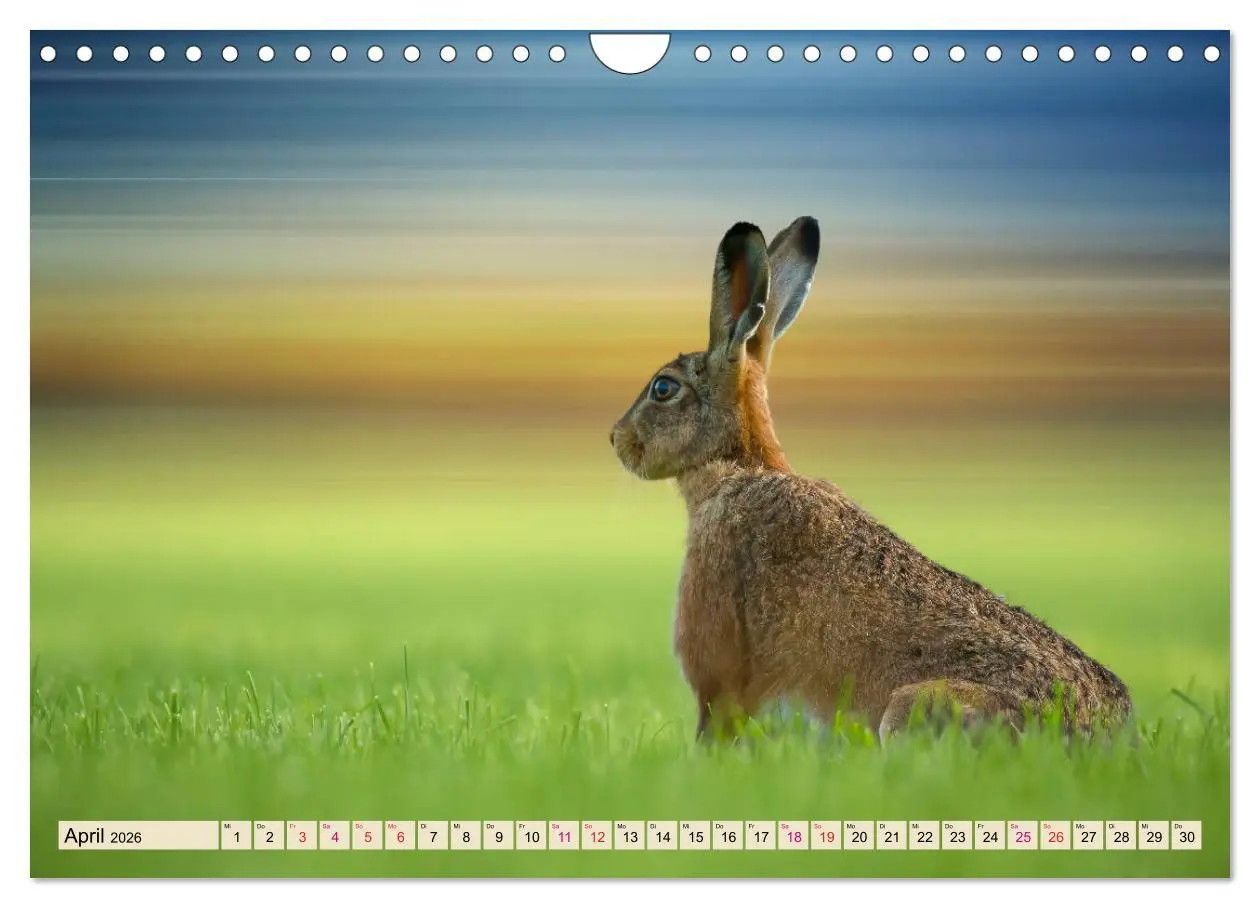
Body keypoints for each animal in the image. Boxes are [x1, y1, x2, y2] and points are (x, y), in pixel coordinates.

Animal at [609, 217, 1132, 743]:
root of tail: (1096, 733)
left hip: (913, 707)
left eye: (663, 388)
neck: (737, 466)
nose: (616, 438)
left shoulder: (718, 666)